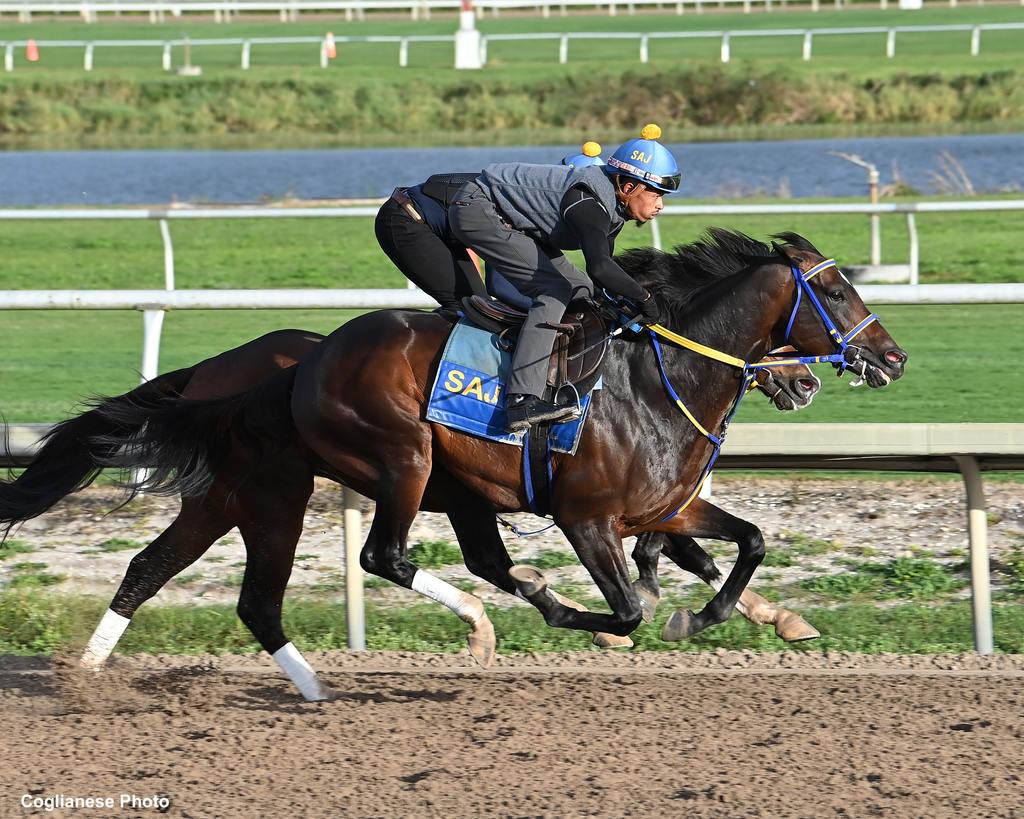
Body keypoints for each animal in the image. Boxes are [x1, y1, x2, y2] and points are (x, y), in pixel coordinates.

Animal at [61, 228, 905, 659]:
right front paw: (636, 614)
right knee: (383, 556)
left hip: (295, 492)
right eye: (834, 290)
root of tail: (306, 361)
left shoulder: (665, 506)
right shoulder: (588, 517)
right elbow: (629, 606)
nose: (891, 358)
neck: (656, 378)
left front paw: (720, 615)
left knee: (154, 568)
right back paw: (486, 619)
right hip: (393, 462)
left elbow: (747, 541)